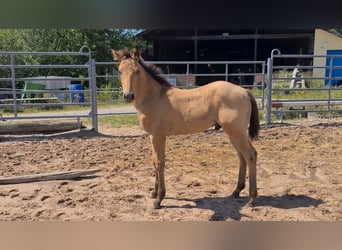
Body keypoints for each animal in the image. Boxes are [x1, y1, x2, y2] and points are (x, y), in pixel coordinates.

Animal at [112, 47, 260, 208]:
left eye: (137, 71)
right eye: (119, 71)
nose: (128, 96)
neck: (154, 97)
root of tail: (244, 91)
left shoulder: (158, 135)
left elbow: (160, 162)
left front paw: (159, 199)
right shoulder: (151, 135)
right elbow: (154, 161)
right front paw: (154, 193)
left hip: (237, 132)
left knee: (250, 155)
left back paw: (251, 199)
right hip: (232, 132)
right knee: (242, 156)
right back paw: (236, 191)